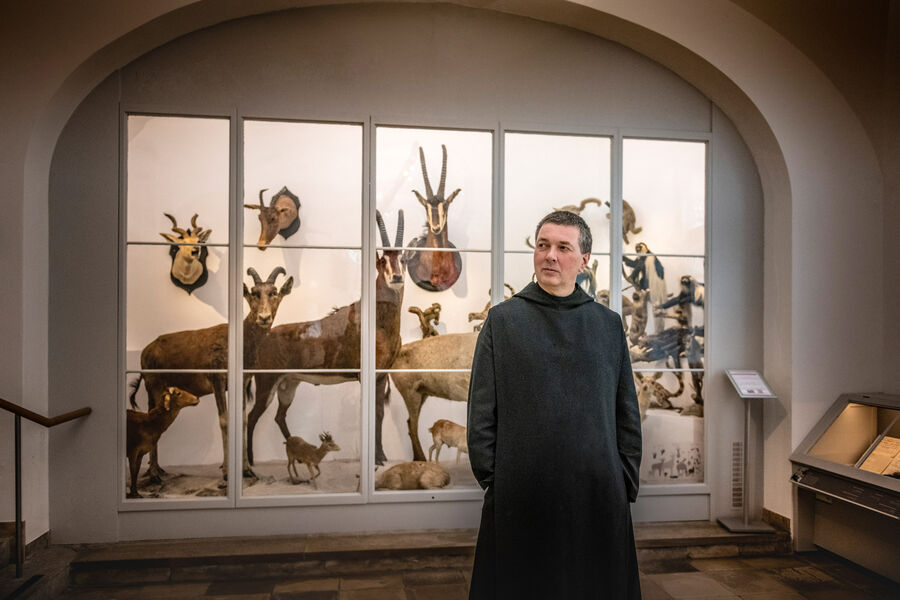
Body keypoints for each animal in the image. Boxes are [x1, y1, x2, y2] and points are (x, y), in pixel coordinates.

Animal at [130, 268, 294, 482]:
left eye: (274, 292)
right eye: (254, 292)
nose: (264, 317)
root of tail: (146, 351)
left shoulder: (241, 382)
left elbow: (242, 419)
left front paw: (247, 470)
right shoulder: (217, 381)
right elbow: (224, 420)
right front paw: (225, 472)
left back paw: (155, 469)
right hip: (154, 385)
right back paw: (155, 474)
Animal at [243, 212, 404, 468]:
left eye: (403, 259)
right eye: (382, 262)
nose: (397, 277)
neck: (380, 322)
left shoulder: (380, 376)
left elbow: (379, 413)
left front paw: (381, 456)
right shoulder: (368, 376)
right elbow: (373, 413)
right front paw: (377, 459)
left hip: (288, 385)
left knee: (279, 416)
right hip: (267, 383)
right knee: (252, 416)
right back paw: (250, 463)